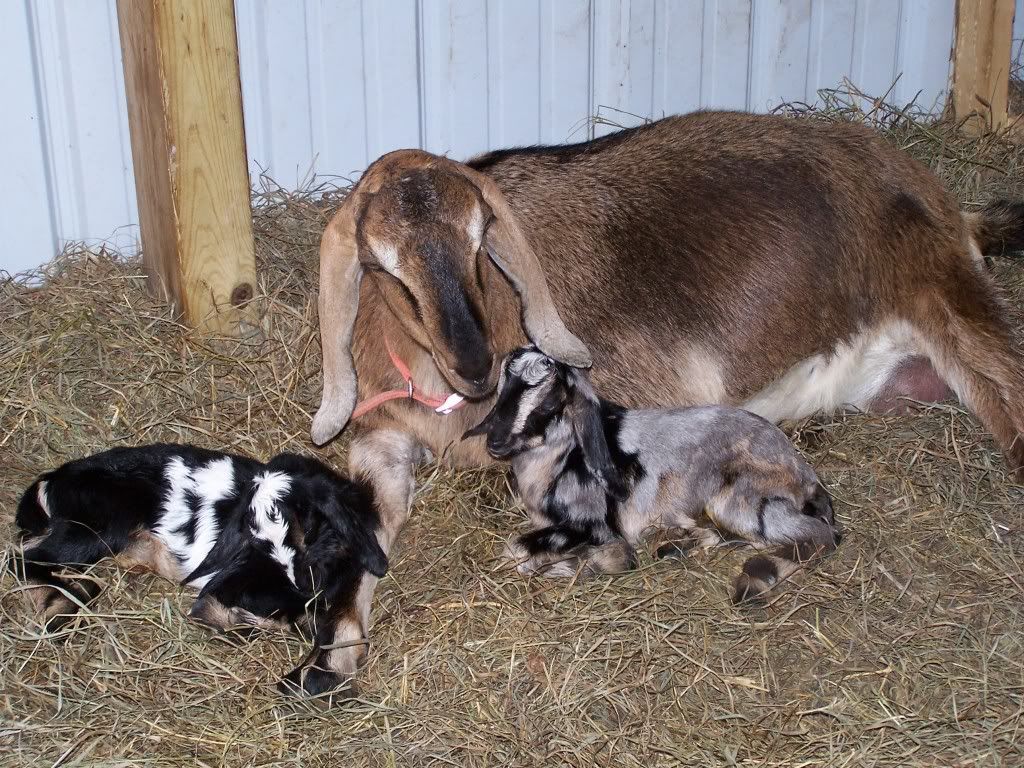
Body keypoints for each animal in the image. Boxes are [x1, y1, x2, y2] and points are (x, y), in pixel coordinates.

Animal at [12, 445, 387, 699]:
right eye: (253, 530)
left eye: (309, 522)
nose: (301, 581)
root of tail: (50, 482)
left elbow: (340, 626)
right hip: (95, 528)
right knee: (24, 559)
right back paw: (59, 611)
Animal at [464, 346, 840, 601]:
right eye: (502, 391)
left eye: (548, 403)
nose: (495, 442)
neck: (560, 460)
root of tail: (803, 473)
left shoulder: (593, 525)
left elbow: (516, 551)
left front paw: (587, 564)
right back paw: (678, 545)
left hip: (741, 500)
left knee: (816, 536)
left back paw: (754, 577)